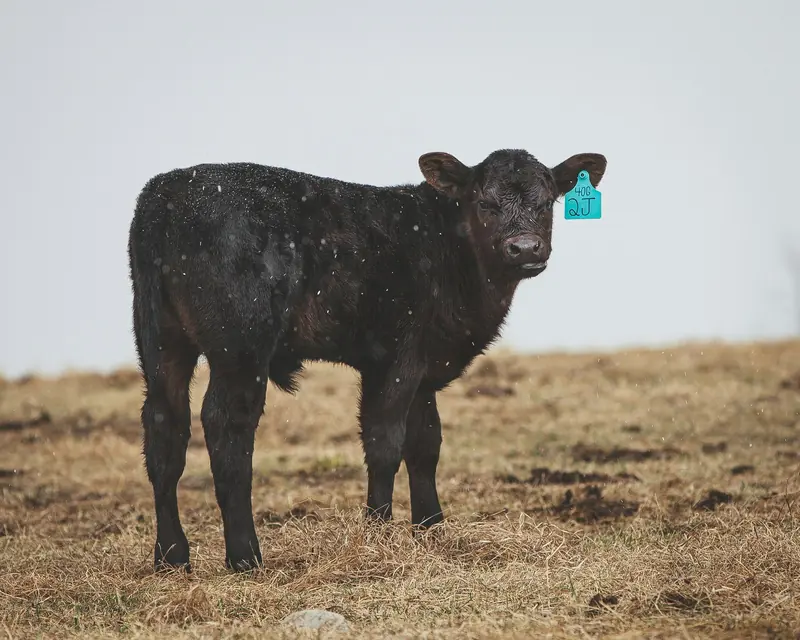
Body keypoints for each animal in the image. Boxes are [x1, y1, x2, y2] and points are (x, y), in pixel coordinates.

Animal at [128, 148, 607, 572]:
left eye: (546, 202)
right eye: (484, 202)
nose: (525, 248)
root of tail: (168, 191)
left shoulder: (424, 369)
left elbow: (425, 445)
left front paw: (430, 528)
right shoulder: (396, 358)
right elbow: (385, 444)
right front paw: (378, 532)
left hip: (159, 342)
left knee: (165, 431)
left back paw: (171, 558)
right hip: (240, 347)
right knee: (227, 429)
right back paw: (245, 558)